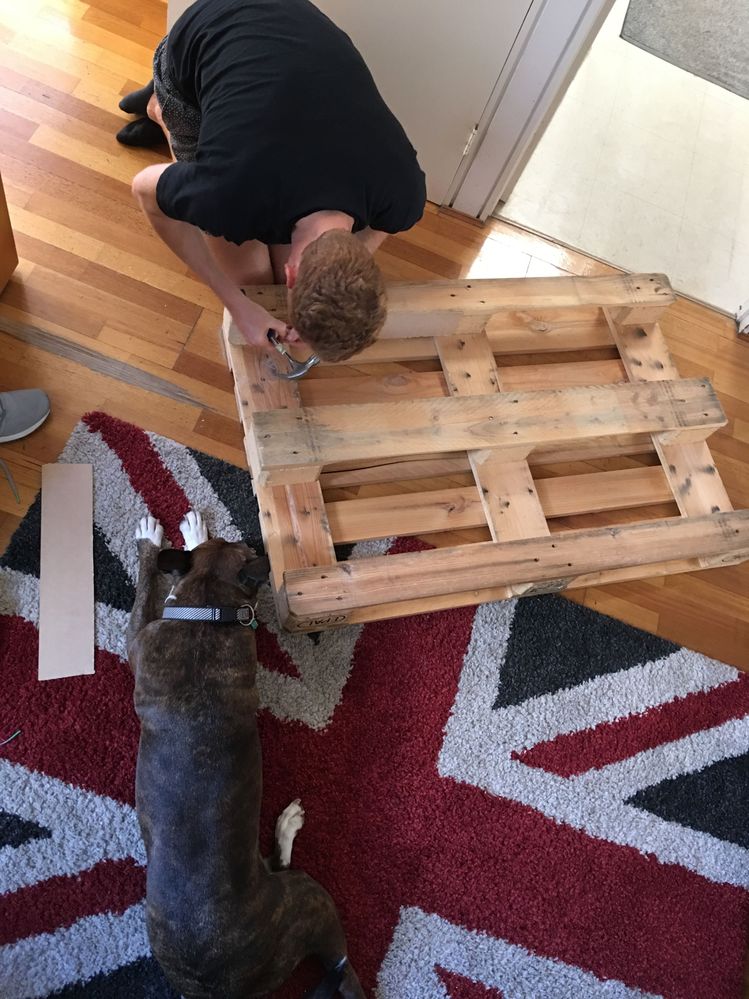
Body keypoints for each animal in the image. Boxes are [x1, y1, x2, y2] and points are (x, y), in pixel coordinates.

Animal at [127, 510, 365, 999]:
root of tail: (223, 985)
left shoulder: (137, 636)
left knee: (335, 954)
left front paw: (157, 539)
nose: (258, 540)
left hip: (309, 897)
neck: (207, 606)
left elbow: (145, 583)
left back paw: (288, 826)